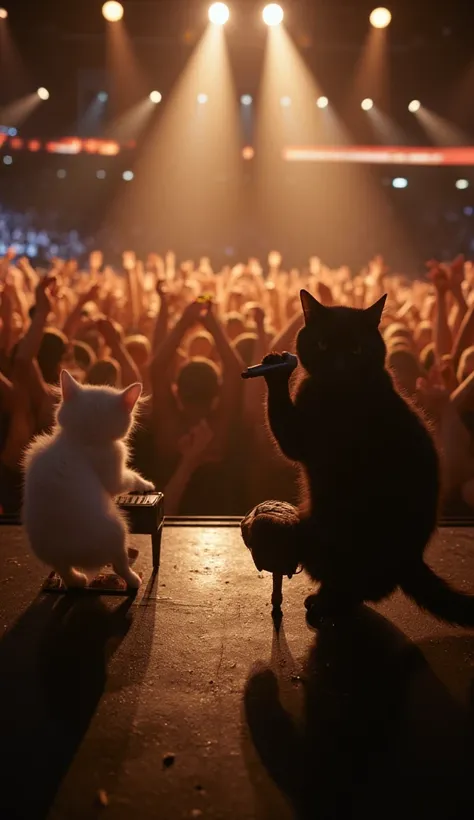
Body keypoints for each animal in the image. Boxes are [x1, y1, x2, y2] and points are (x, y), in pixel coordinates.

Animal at [22, 370, 154, 588]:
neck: (83, 439)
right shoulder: (114, 472)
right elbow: (129, 478)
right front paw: (146, 484)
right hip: (119, 531)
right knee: (120, 565)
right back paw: (134, 581)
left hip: (50, 553)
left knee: (64, 569)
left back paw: (78, 580)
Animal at [262, 288, 474, 620]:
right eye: (323, 343)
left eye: (357, 349)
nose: (338, 365)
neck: (336, 396)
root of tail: (412, 560)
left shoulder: (300, 439)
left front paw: (276, 370)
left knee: (355, 588)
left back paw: (324, 604)